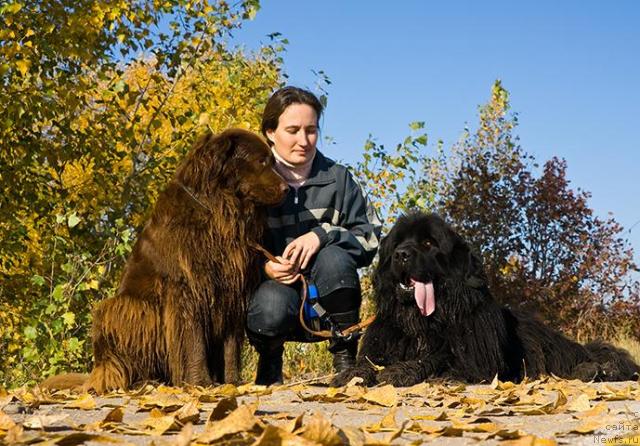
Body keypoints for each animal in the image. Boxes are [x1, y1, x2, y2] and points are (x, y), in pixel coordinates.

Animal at [41, 129, 286, 394]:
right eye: (261, 161)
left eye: (272, 161)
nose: (286, 188)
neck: (218, 211)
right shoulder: (187, 289)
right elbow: (193, 340)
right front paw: (200, 383)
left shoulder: (232, 289)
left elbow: (231, 344)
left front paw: (233, 383)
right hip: (125, 308)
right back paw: (143, 382)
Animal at [332, 213, 636, 386]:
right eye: (397, 243)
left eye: (429, 244)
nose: (401, 255)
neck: (422, 320)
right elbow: (367, 362)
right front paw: (353, 373)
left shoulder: (476, 359)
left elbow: (437, 357)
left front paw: (401, 371)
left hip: (537, 336)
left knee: (576, 356)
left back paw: (596, 369)